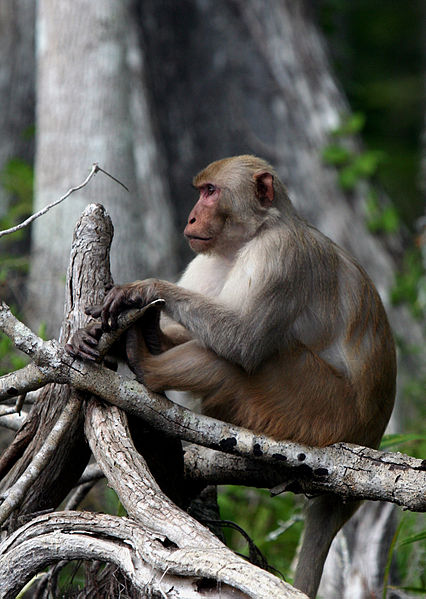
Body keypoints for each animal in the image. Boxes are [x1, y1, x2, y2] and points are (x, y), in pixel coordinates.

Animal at [66, 156, 396, 599]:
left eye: (210, 192)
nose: (190, 217)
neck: (253, 235)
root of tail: (370, 436)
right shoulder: (209, 258)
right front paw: (106, 335)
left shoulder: (278, 254)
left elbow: (241, 340)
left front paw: (143, 290)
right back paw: (146, 339)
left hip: (320, 409)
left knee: (246, 359)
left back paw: (146, 365)